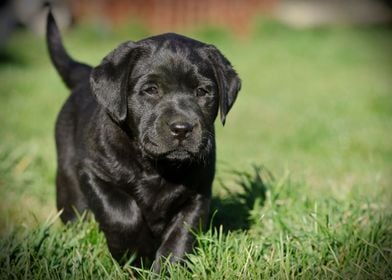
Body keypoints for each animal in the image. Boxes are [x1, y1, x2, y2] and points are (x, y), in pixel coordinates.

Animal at [47, 10, 240, 272]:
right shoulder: (94, 173)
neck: (156, 168)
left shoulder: (198, 191)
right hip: (69, 184)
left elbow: (181, 234)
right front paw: (135, 255)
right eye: (151, 90)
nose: (182, 128)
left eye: (202, 91)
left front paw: (168, 269)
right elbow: (122, 214)